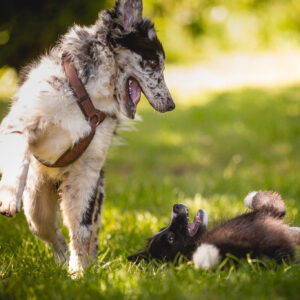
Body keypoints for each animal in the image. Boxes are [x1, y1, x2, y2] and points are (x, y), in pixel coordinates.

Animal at [0, 0, 175, 274]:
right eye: (154, 64)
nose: (171, 105)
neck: (88, 94)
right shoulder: (18, 125)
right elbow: (18, 158)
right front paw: (8, 196)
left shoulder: (86, 173)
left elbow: (81, 231)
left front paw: (81, 274)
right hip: (37, 206)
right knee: (51, 233)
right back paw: (62, 260)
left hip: (95, 196)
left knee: (87, 234)